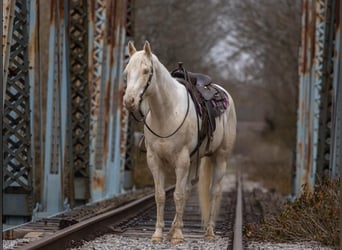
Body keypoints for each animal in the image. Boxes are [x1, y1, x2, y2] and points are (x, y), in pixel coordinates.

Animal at [123, 41, 238, 244]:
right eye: (126, 71)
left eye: (146, 71)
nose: (129, 101)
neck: (166, 114)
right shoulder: (155, 160)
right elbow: (161, 196)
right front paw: (159, 234)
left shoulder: (181, 160)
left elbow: (177, 195)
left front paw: (177, 235)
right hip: (193, 160)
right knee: (188, 189)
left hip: (220, 158)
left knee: (214, 191)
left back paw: (209, 231)